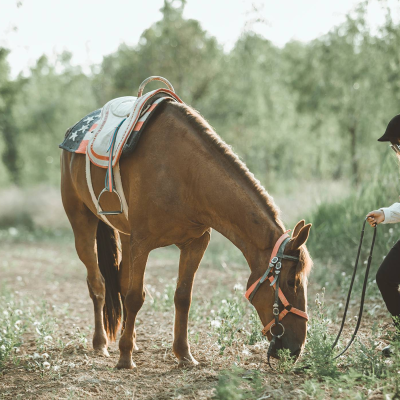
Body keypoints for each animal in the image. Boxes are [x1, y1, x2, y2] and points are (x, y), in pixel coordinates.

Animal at [61, 99, 314, 368]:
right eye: (291, 282)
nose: (296, 349)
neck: (185, 172)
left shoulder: (195, 243)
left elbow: (182, 297)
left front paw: (184, 354)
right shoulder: (142, 244)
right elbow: (135, 297)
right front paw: (125, 357)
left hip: (126, 235)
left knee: (120, 282)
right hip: (83, 223)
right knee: (97, 284)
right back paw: (100, 343)